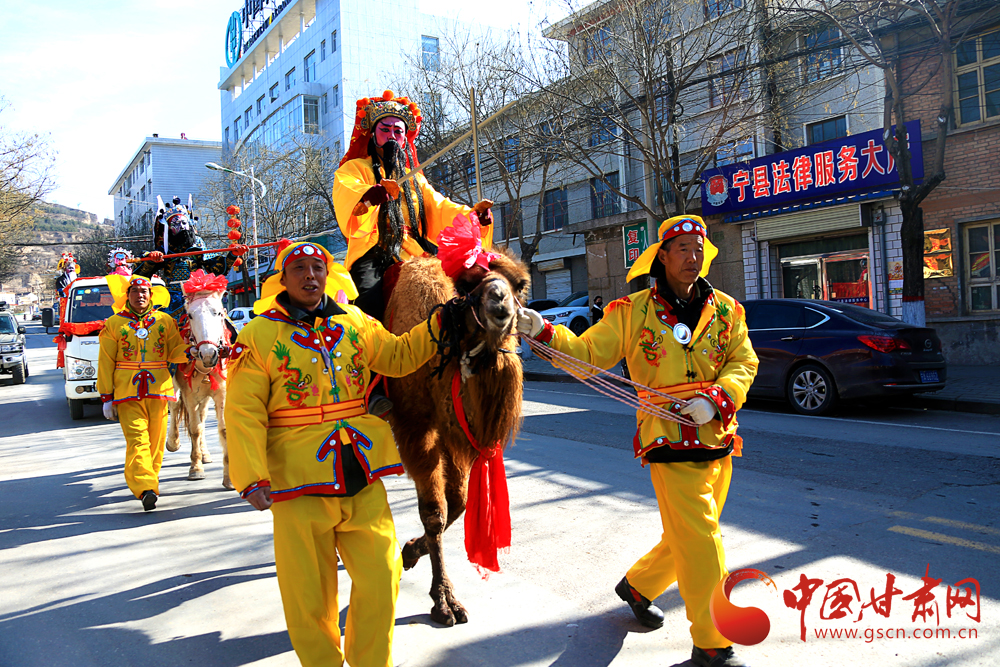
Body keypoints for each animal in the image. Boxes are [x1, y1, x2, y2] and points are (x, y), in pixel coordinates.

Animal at [166, 272, 234, 490]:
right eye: (190, 315)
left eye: (219, 313)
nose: (208, 353)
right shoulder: (189, 393)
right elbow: (194, 429)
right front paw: (195, 469)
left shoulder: (222, 392)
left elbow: (223, 429)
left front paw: (229, 478)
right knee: (175, 406)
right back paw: (173, 443)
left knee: (203, 417)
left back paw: (205, 454)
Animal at [382, 247, 532, 628]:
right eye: (468, 283)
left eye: (520, 284)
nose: (499, 302)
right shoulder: (417, 426)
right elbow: (435, 512)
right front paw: (444, 603)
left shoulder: (452, 433)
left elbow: (459, 504)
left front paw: (409, 552)